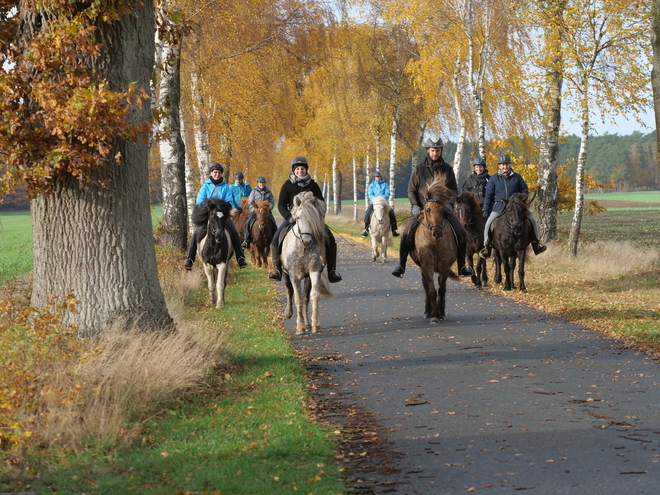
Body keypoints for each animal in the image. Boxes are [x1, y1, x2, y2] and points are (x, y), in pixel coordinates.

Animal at [280, 192, 332, 336]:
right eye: (298, 217)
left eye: (313, 219)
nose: (307, 241)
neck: (303, 249)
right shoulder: (294, 275)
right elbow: (297, 298)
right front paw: (300, 327)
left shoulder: (314, 272)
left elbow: (313, 296)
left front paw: (315, 325)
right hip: (286, 274)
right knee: (289, 291)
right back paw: (289, 313)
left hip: (307, 277)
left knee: (306, 298)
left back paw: (308, 323)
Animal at [412, 176, 458, 324]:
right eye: (427, 210)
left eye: (443, 210)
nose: (436, 233)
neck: (434, 243)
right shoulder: (427, 266)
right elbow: (431, 290)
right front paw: (434, 316)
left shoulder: (444, 266)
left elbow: (442, 289)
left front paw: (441, 313)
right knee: (426, 286)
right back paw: (428, 311)